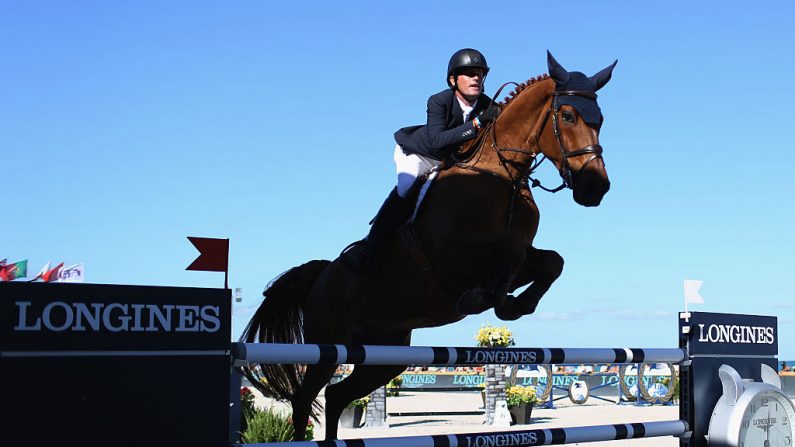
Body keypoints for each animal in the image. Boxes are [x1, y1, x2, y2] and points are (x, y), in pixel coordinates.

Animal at [239, 52, 620, 440]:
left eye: (600, 120)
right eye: (568, 116)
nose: (595, 188)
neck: (502, 176)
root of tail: (321, 275)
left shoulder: (522, 256)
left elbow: (550, 261)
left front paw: (514, 304)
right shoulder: (452, 256)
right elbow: (508, 252)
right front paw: (484, 299)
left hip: (384, 351)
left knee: (336, 395)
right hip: (329, 346)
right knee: (305, 398)